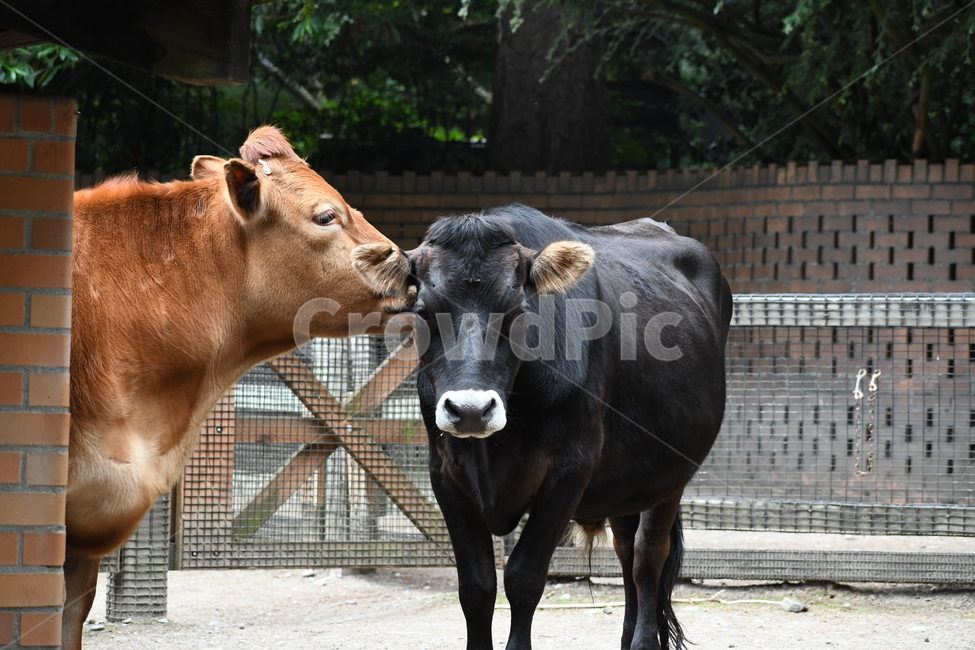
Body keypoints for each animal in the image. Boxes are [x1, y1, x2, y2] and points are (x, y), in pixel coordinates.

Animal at [353, 203, 732, 650]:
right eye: (424, 311)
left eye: (518, 310)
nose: (470, 409)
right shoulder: (445, 473)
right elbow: (476, 586)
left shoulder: (569, 470)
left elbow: (524, 577)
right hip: (627, 481)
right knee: (625, 551)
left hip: (670, 476)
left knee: (647, 557)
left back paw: (643, 641)